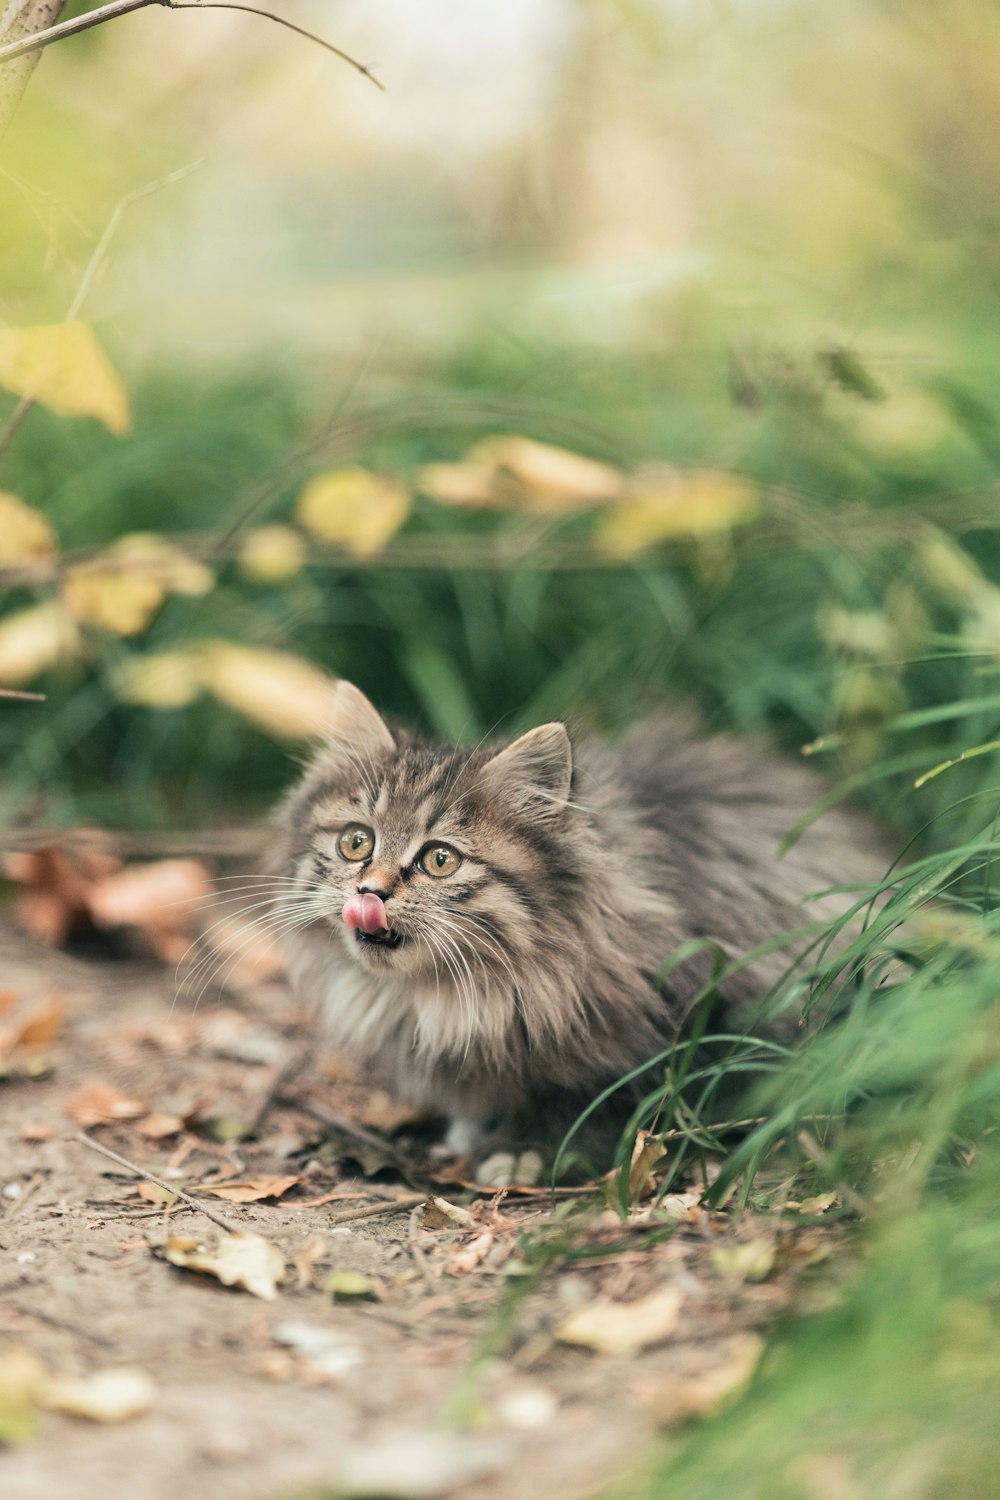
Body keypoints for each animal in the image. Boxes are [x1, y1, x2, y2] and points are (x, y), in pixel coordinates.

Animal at [268, 678, 893, 1158]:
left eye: (440, 860)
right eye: (356, 843)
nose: (368, 891)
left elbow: (586, 1104)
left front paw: (524, 1153)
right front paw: (471, 1135)